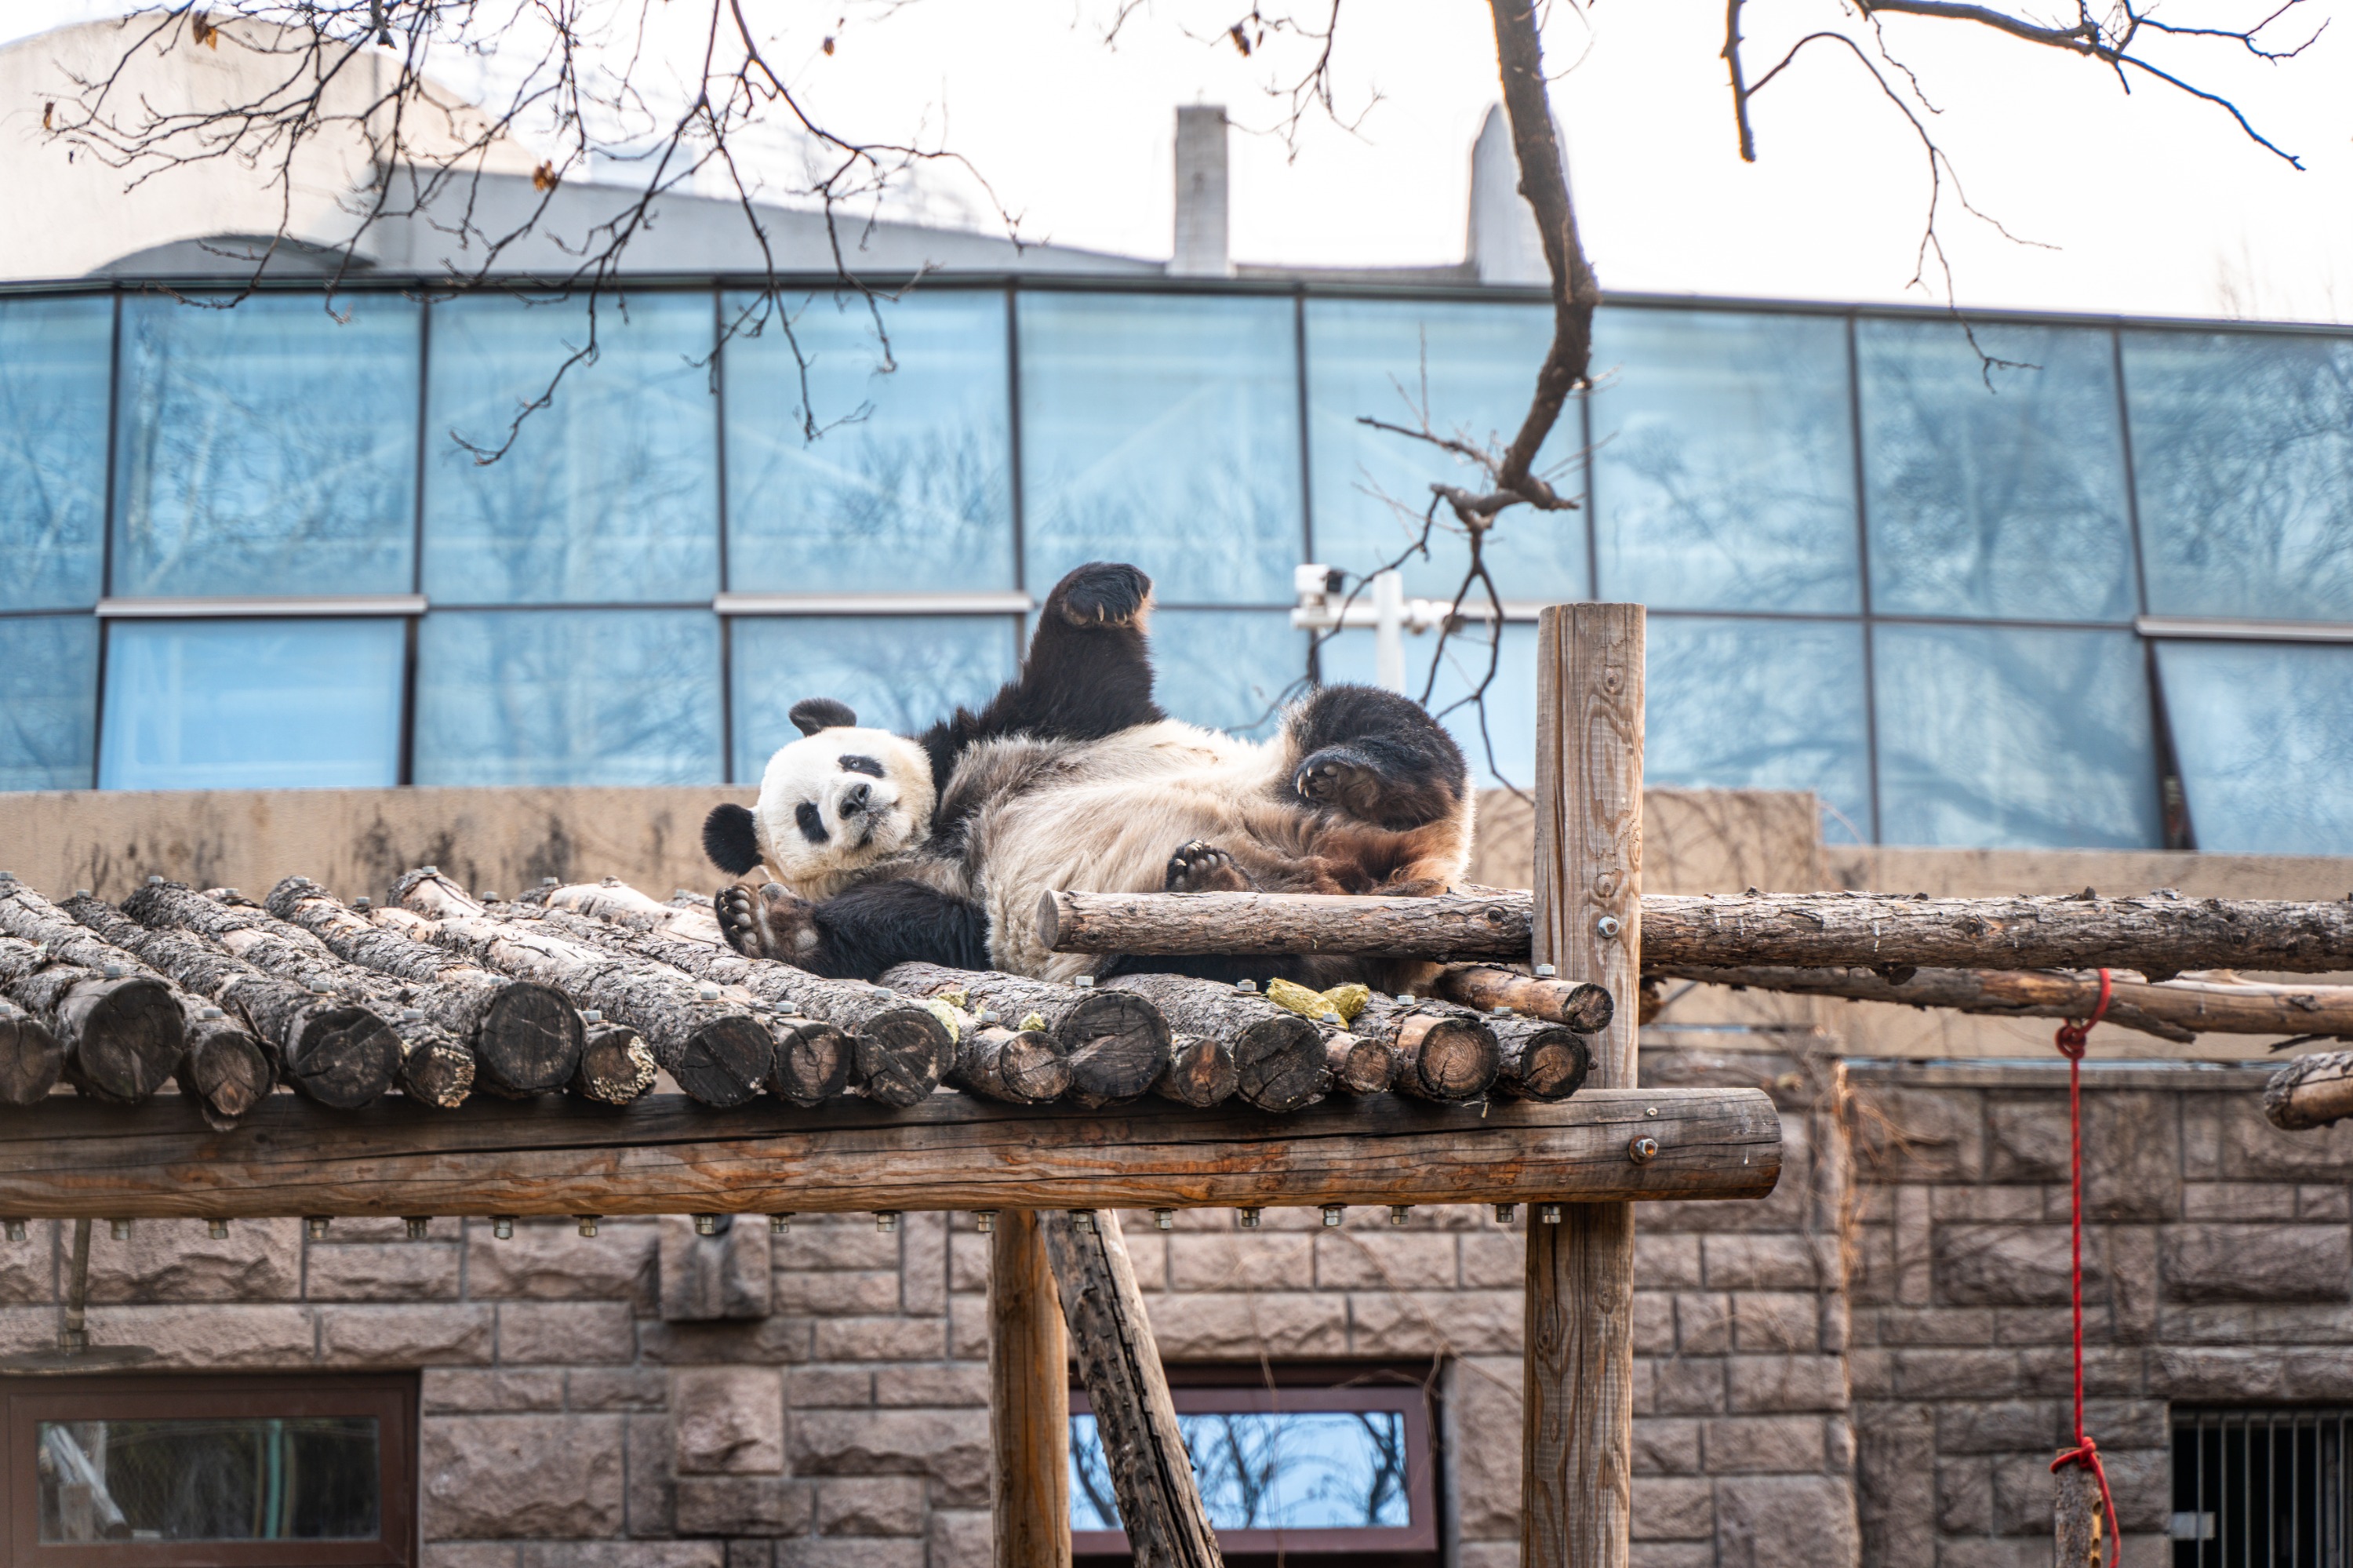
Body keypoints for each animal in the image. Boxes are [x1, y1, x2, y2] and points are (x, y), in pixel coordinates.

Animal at [696, 555, 1468, 984]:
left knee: (1370, 723)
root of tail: (1362, 876)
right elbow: (922, 926)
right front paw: (771, 926)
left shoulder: (1019, 733)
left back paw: (1353, 775)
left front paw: (1099, 592)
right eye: (809, 816)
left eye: (853, 759)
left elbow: (1082, 674)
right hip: (1168, 941)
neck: (937, 828)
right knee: (1229, 960)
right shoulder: (963, 901)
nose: (856, 798)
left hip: (1288, 774)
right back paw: (1214, 886)